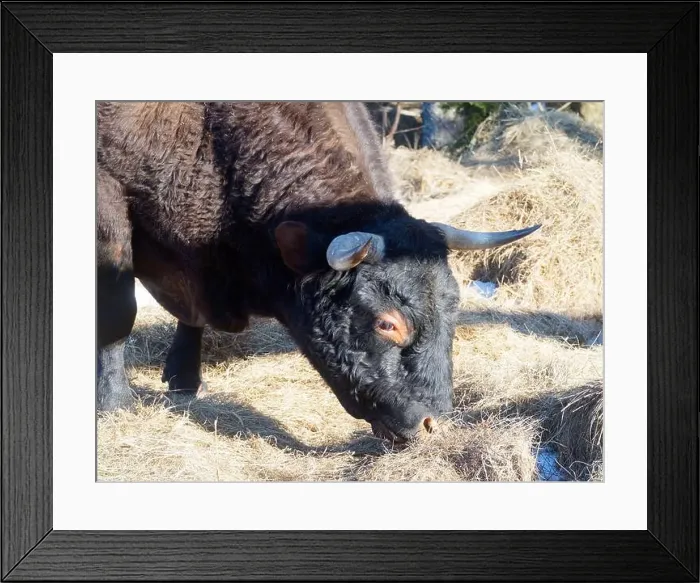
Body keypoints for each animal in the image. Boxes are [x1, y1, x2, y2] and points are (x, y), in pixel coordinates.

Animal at [97, 102, 540, 443]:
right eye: (387, 323)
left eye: (454, 315)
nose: (434, 424)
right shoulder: (109, 203)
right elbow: (118, 314)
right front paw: (114, 403)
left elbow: (192, 319)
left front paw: (185, 380)